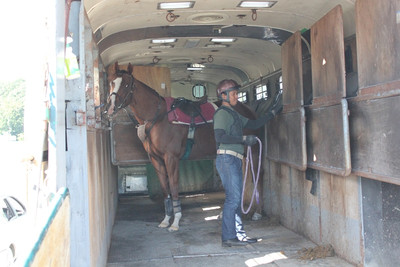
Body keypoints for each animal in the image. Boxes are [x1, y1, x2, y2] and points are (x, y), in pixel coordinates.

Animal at [104, 61, 264, 231]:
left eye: (127, 84)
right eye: (111, 82)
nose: (110, 108)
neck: (159, 117)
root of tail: (248, 111)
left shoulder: (171, 159)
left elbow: (174, 188)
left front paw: (175, 222)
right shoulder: (156, 160)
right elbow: (165, 190)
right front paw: (166, 219)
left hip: (254, 151)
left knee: (258, 176)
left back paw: (257, 212)